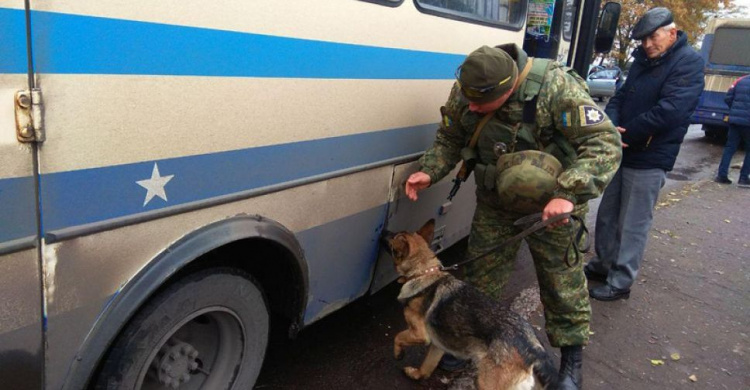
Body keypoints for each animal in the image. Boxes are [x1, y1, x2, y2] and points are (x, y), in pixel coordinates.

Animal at [388, 219, 560, 390]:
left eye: (393, 239)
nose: (385, 232)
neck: (424, 273)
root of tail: (535, 351)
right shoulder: (438, 346)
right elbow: (427, 367)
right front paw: (416, 374)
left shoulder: (420, 334)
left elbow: (398, 336)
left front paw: (397, 353)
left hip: (486, 383)